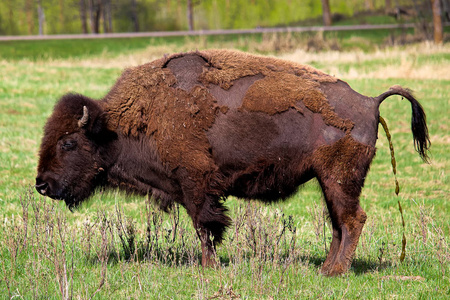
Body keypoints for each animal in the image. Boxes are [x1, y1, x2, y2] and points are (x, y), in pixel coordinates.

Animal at [35, 48, 428, 274]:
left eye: (69, 142)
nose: (42, 184)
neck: (119, 124)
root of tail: (370, 102)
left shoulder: (195, 184)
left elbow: (205, 226)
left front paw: (210, 268)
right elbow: (205, 226)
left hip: (340, 178)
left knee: (353, 220)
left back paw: (337, 272)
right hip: (328, 182)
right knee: (338, 223)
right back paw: (326, 269)